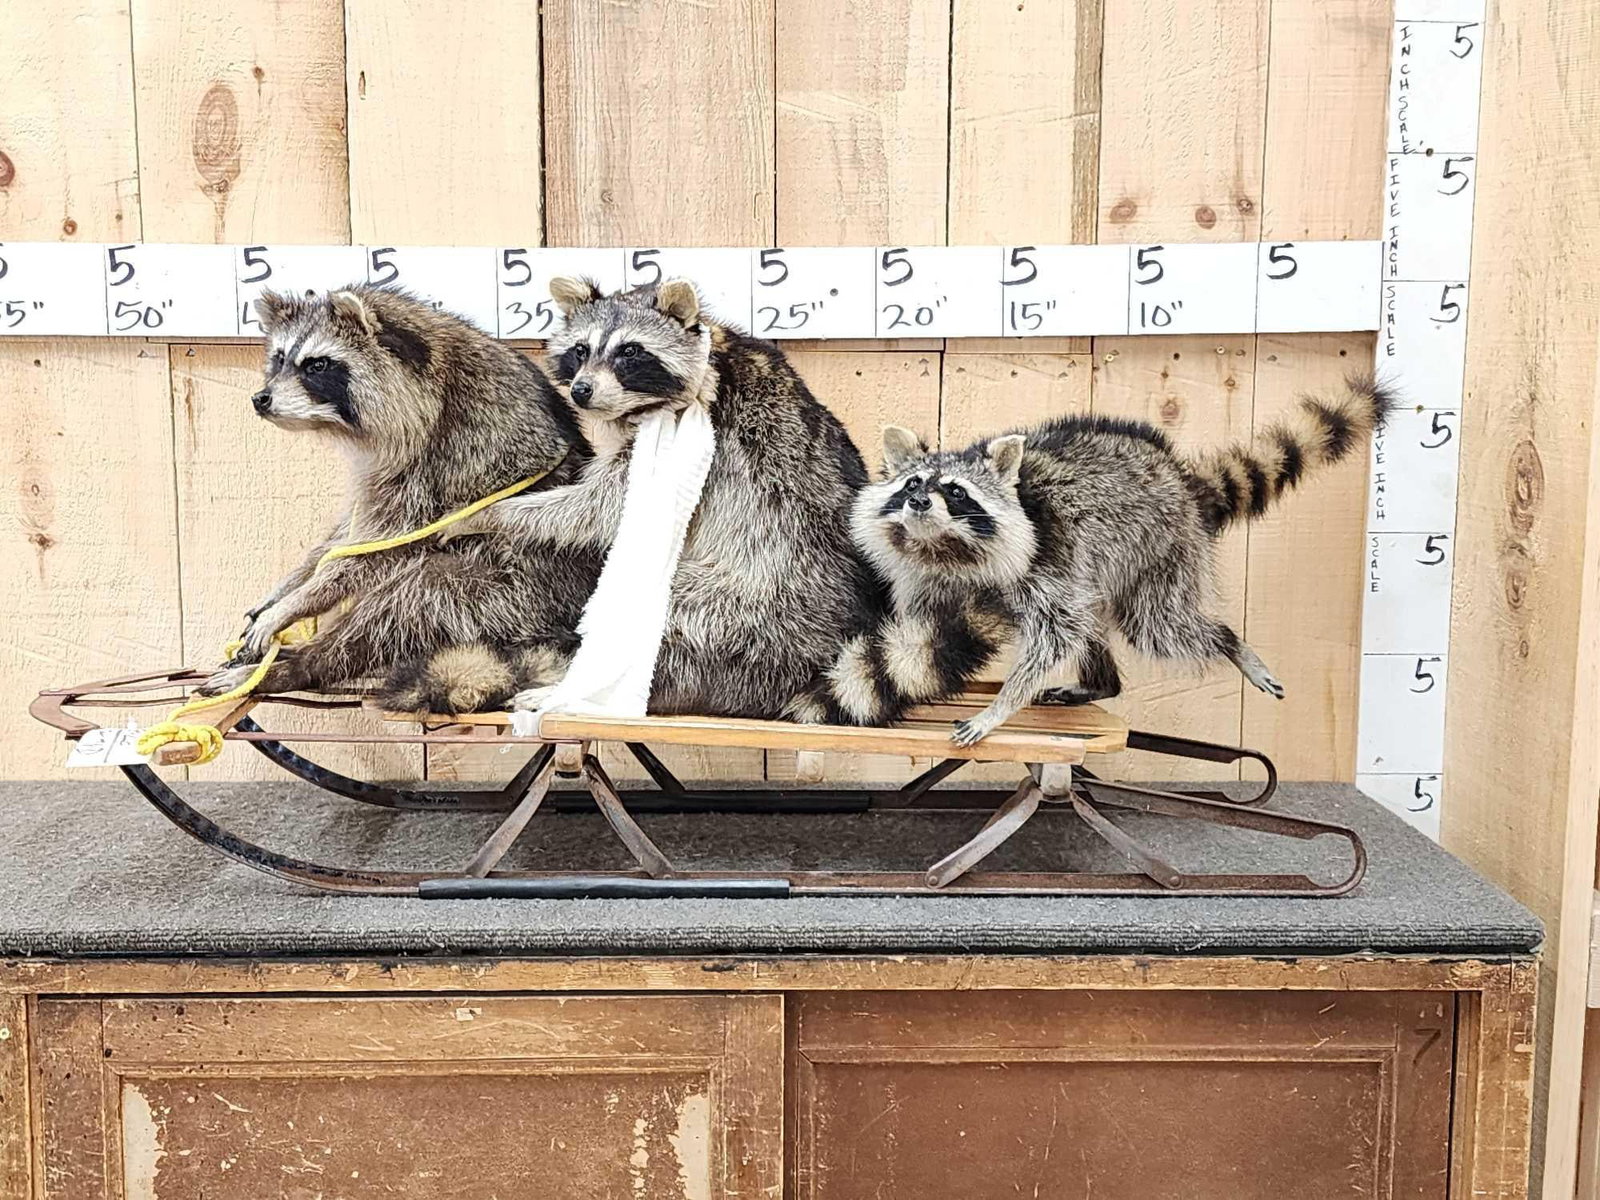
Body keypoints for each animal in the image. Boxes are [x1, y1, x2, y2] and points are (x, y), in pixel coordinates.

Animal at [198, 285, 601, 711]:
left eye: (317, 366)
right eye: (279, 358)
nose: (260, 398)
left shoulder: (451, 454)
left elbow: (379, 547)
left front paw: (298, 601)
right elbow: (345, 534)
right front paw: (291, 584)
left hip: (514, 589)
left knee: (409, 598)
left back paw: (303, 664)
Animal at [444, 277, 880, 719]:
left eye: (630, 351)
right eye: (581, 350)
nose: (581, 391)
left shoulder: (694, 441)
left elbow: (601, 509)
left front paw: (494, 514)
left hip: (757, 602)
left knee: (665, 614)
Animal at [837, 376, 1394, 745]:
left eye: (954, 492)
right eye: (912, 483)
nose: (918, 501)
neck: (943, 547)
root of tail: (1180, 478)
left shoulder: (1045, 560)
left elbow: (1053, 635)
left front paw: (1000, 706)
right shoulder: (921, 575)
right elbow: (925, 623)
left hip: (1162, 552)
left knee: (1158, 626)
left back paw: (1228, 641)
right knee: (1094, 623)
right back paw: (1102, 681)